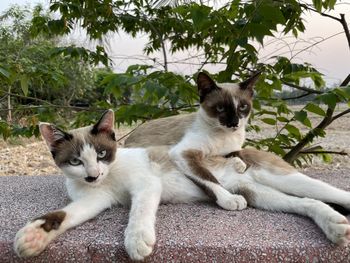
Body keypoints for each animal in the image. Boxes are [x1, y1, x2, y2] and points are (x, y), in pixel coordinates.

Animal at [15, 109, 350, 262]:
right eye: (75, 161)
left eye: (101, 154)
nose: (93, 175)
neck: (109, 178)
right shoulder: (92, 200)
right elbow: (63, 214)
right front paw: (33, 236)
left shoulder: (147, 185)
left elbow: (139, 211)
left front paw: (137, 240)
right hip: (257, 194)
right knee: (306, 203)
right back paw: (334, 224)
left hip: (281, 176)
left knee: (328, 193)